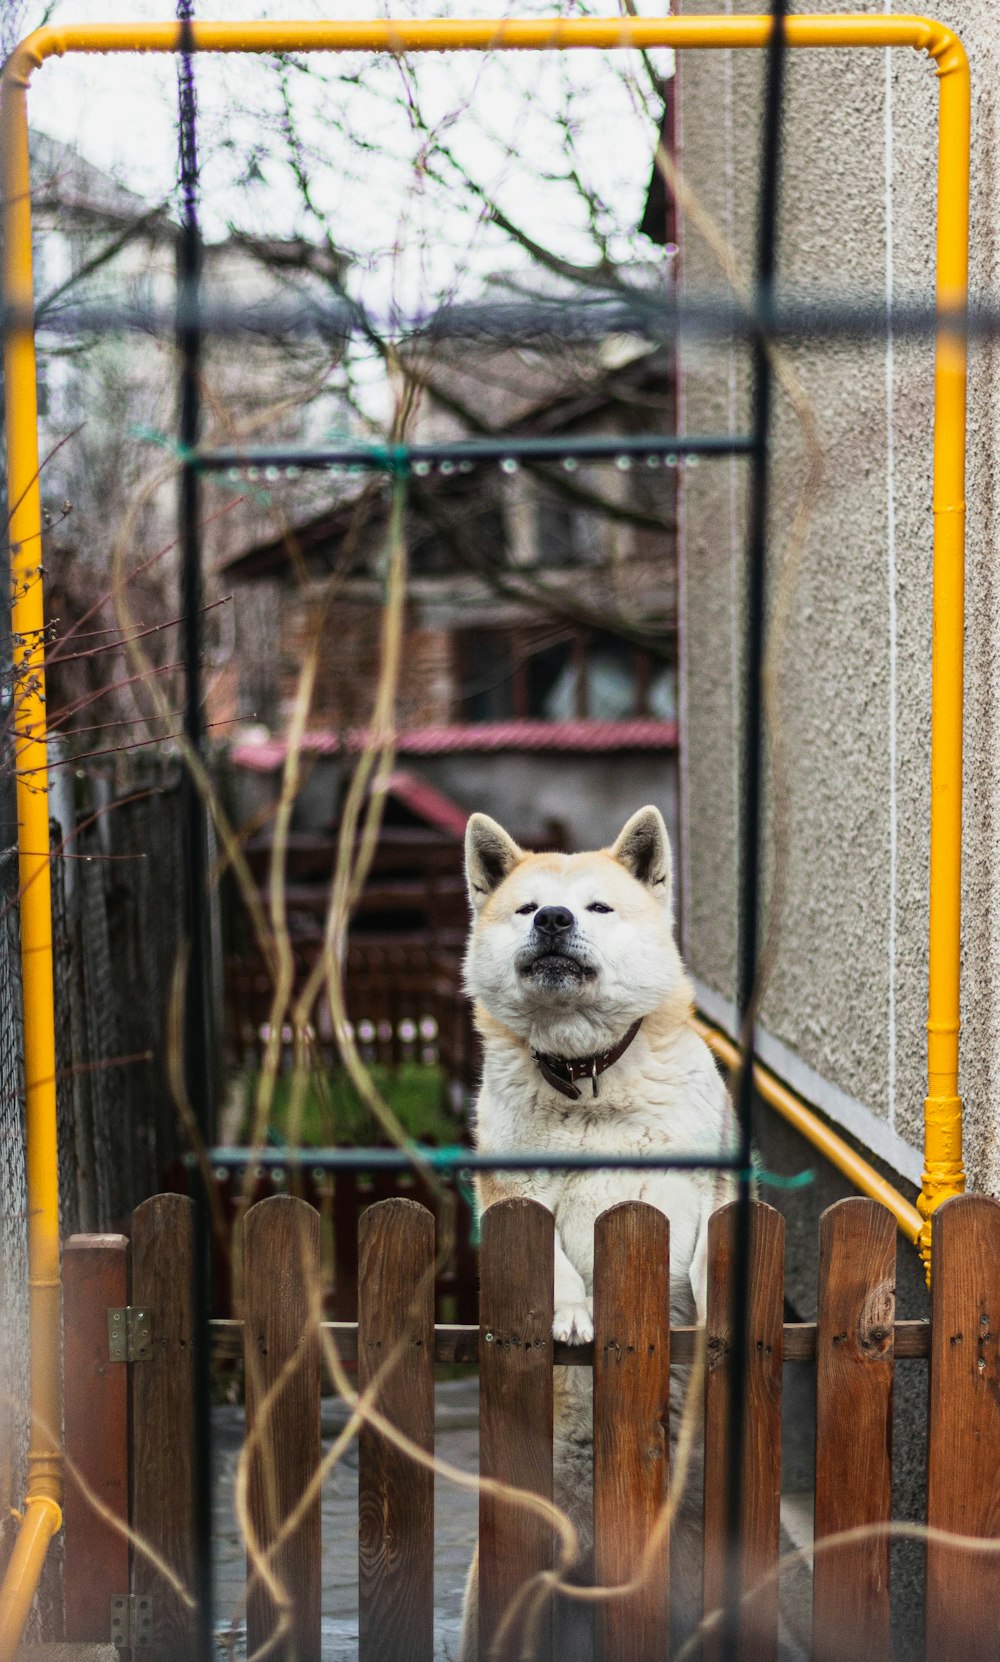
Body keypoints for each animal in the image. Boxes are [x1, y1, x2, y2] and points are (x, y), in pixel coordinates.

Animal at [458, 797, 730, 1655]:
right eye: (525, 908)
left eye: (598, 908)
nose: (552, 918)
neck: (587, 1084)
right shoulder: (512, 1199)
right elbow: (550, 1257)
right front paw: (576, 1312)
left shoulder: (706, 1185)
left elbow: (714, 1243)